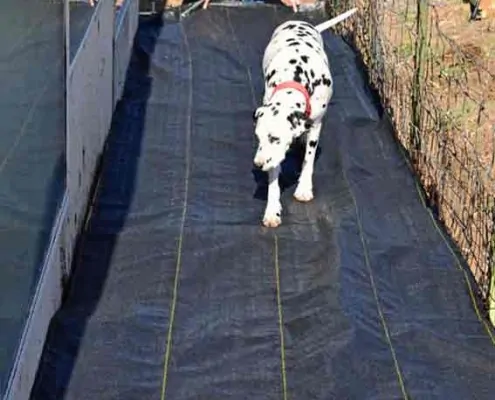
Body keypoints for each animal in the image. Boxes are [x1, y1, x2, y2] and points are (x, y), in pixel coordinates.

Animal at [254, 8, 358, 228]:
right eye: (258, 137)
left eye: (275, 138)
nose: (257, 164)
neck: (297, 74)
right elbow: (274, 180)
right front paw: (272, 209)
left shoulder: (316, 126)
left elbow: (308, 160)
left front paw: (304, 188)